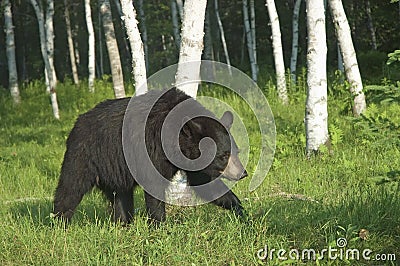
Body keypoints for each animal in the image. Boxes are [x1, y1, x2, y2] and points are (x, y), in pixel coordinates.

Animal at [53, 88, 247, 223]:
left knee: (121, 197)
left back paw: (123, 223)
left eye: (236, 151)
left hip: (116, 173)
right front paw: (159, 225)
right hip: (85, 155)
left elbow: (205, 183)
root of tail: (77, 122)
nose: (242, 173)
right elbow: (154, 186)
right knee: (70, 188)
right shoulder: (150, 148)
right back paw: (59, 221)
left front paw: (241, 210)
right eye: (223, 155)